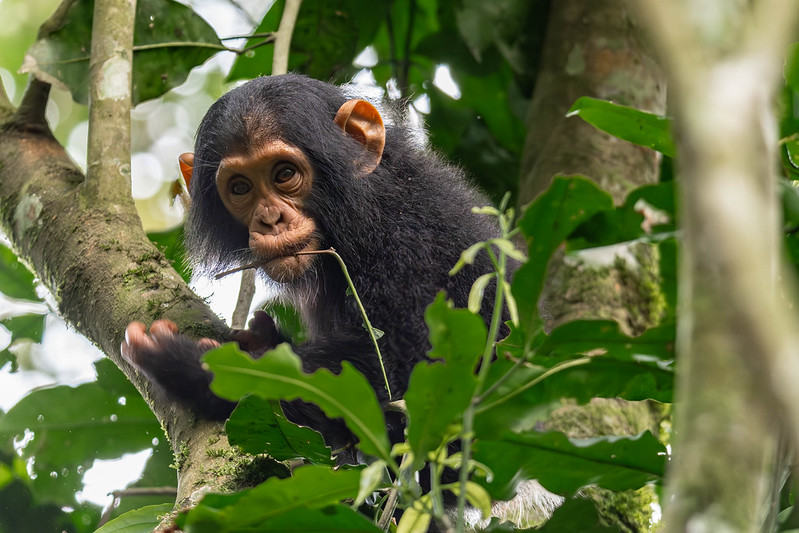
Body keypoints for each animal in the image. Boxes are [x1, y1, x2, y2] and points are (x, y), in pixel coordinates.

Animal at [121, 74, 504, 463]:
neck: (364, 213)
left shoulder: (411, 247)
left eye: (285, 173)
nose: (271, 219)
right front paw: (263, 339)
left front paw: (188, 363)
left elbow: (416, 364)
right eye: (240, 187)